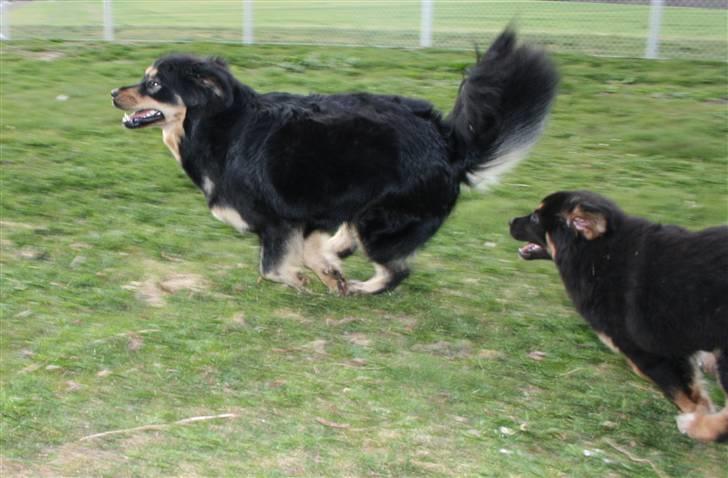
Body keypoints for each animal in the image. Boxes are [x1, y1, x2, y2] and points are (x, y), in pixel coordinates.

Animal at [112, 29, 556, 294]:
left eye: (153, 83)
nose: (114, 93)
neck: (219, 124)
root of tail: (451, 145)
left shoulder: (280, 218)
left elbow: (272, 268)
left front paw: (303, 279)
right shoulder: (310, 212)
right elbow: (309, 251)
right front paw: (325, 270)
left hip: (381, 221)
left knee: (395, 270)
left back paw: (362, 286)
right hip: (363, 209)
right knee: (355, 244)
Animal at [512, 189, 728, 442]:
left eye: (535, 217)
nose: (510, 222)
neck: (599, 254)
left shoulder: (649, 352)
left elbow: (682, 394)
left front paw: (697, 415)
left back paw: (696, 426)